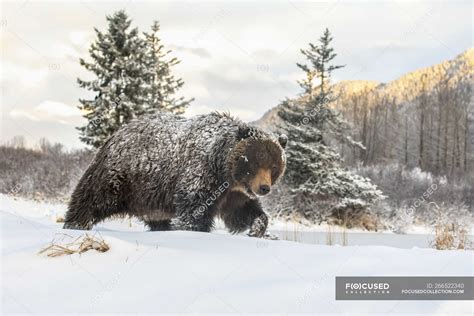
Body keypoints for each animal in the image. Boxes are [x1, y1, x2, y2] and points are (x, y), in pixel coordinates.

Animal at [64, 111, 286, 237]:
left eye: (274, 166)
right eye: (255, 162)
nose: (264, 188)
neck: (225, 171)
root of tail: (115, 134)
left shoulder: (233, 194)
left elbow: (242, 213)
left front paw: (257, 227)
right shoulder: (202, 176)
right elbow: (194, 211)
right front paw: (192, 230)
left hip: (149, 199)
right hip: (121, 177)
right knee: (92, 198)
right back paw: (75, 223)